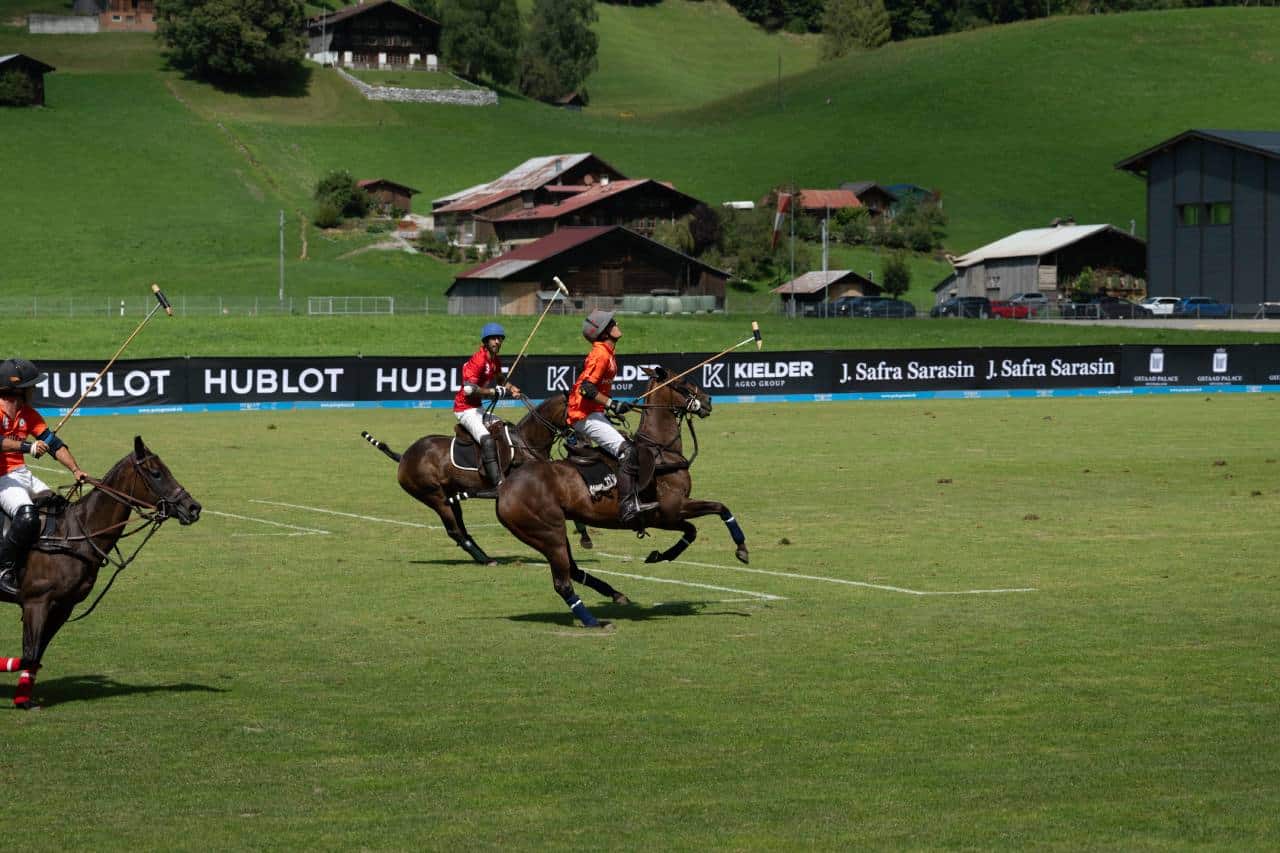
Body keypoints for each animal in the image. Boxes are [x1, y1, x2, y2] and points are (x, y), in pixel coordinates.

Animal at [1, 435, 200, 706]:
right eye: (157, 473)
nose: (193, 508)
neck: (76, 533)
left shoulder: (63, 606)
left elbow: (36, 655)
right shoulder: (36, 602)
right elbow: (29, 654)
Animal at [360, 394, 588, 563]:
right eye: (576, 411)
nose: (585, 441)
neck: (526, 442)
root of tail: (404, 457)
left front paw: (584, 536)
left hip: (450, 494)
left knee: (460, 527)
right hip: (433, 496)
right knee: (454, 530)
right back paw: (485, 559)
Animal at [491, 366, 747, 625]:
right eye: (683, 382)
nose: (708, 400)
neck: (662, 451)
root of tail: (504, 488)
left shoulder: (664, 517)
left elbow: (692, 531)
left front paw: (658, 556)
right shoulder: (672, 509)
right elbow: (720, 508)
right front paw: (742, 549)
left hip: (546, 533)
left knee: (572, 570)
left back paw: (615, 594)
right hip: (548, 532)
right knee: (562, 582)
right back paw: (594, 622)